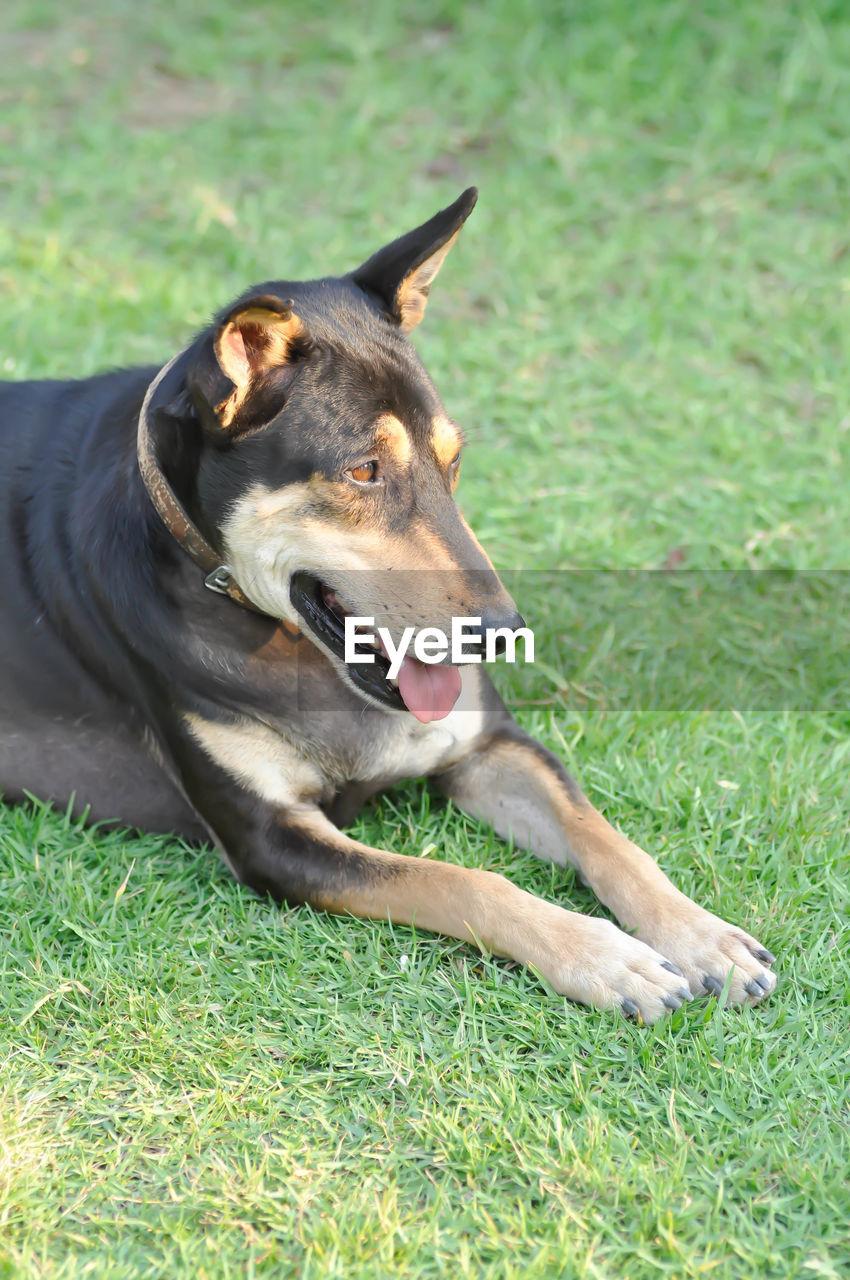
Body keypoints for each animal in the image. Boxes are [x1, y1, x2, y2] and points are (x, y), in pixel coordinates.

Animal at [0, 189, 778, 1024]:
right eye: (364, 470)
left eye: (454, 460)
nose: (504, 634)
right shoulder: (274, 838)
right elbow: (468, 881)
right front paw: (606, 957)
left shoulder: (488, 744)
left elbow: (603, 834)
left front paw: (703, 936)